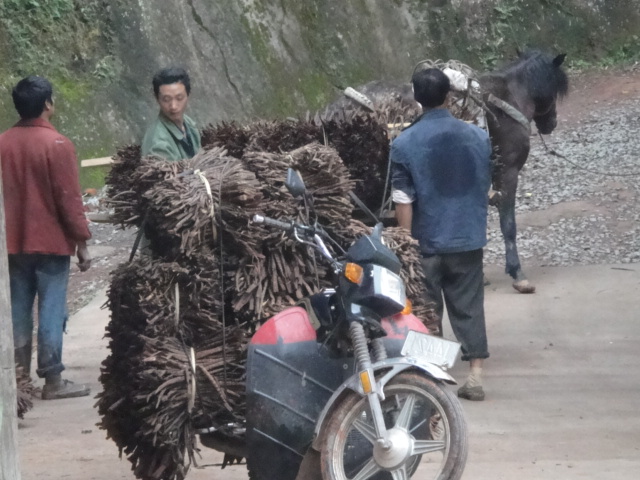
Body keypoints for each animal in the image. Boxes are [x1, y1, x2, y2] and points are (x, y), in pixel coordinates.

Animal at [328, 50, 568, 294]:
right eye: (554, 89)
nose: (551, 123)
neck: (507, 100)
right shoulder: (507, 173)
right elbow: (507, 225)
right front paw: (517, 273)